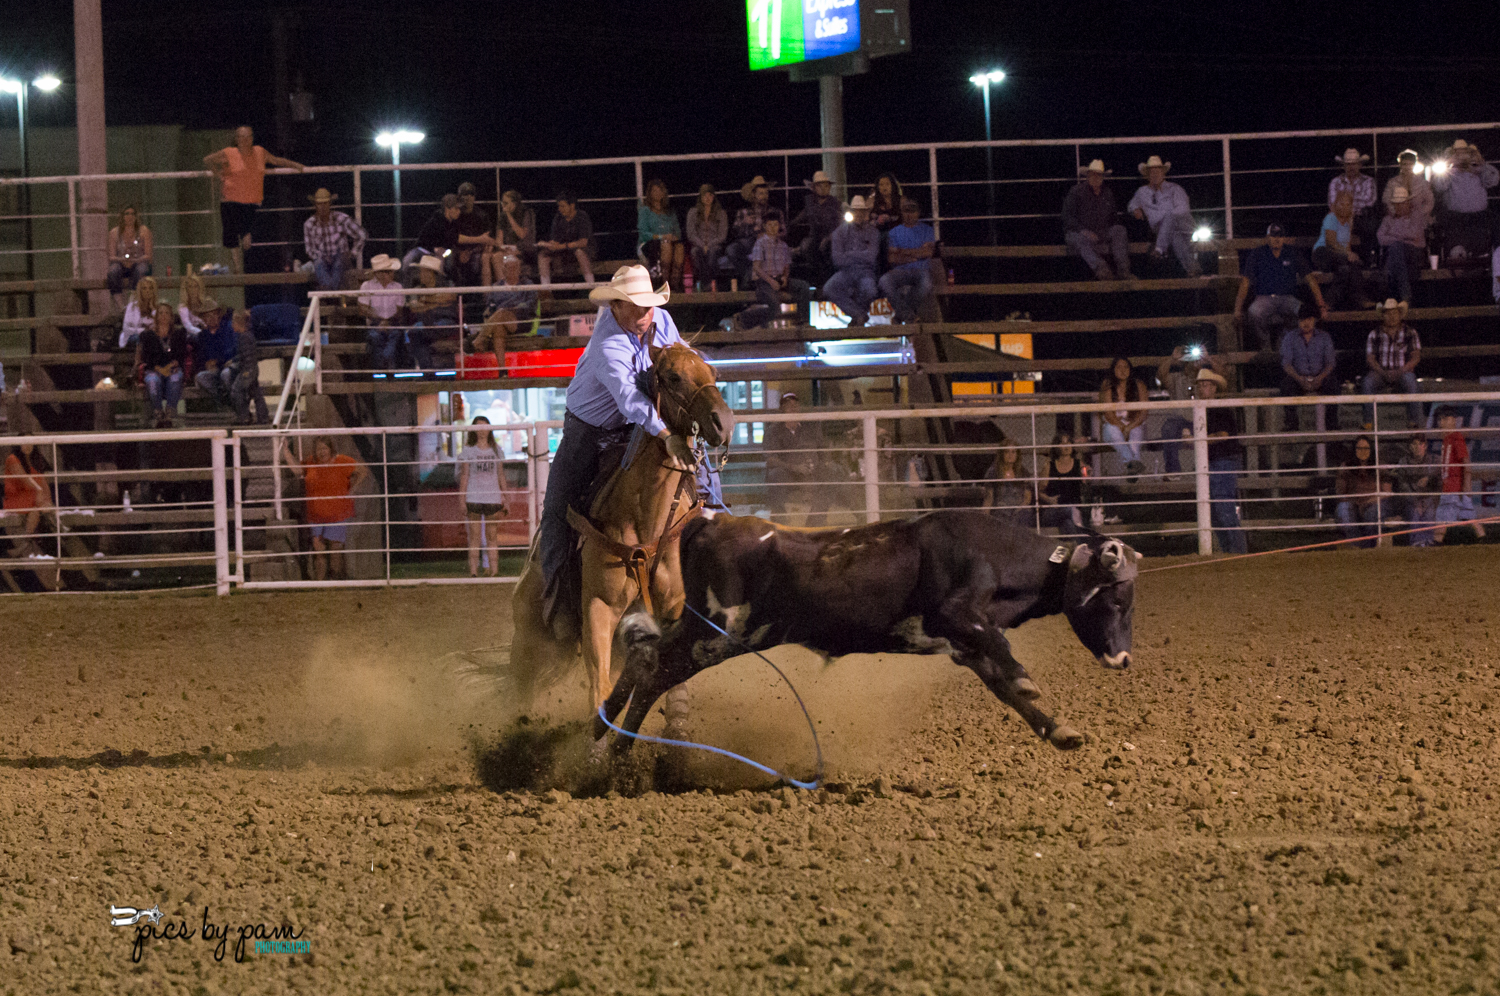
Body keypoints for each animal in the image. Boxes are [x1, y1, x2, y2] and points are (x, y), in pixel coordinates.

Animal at [507, 342, 735, 732]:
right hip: (528, 636)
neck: (646, 519)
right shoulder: (599, 609)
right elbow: (599, 689)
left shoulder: (673, 607)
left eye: (712, 373)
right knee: (521, 684)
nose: (723, 422)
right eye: (674, 376)